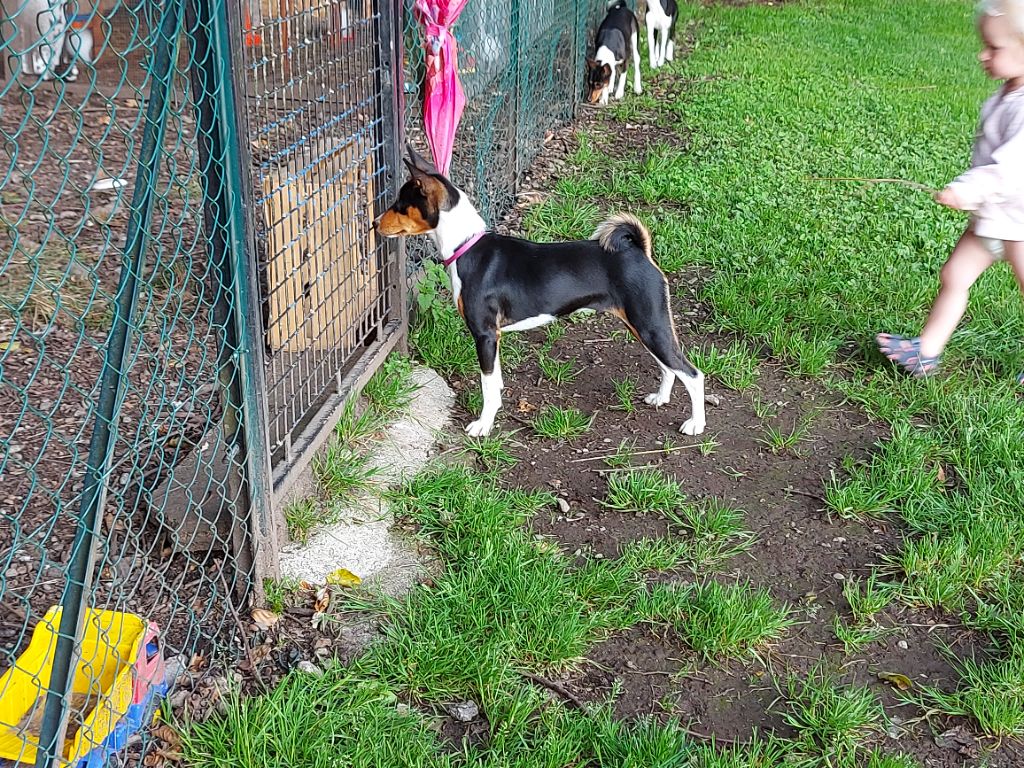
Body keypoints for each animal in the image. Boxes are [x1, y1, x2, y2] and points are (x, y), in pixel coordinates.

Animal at [374, 147, 706, 439]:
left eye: (400, 204)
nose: (374, 223)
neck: (465, 246)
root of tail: (639, 251)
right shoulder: (495, 337)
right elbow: (495, 382)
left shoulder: (484, 334)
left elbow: (487, 386)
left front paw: (483, 426)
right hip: (644, 325)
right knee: (668, 366)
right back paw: (661, 398)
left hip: (649, 324)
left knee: (692, 373)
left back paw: (695, 424)